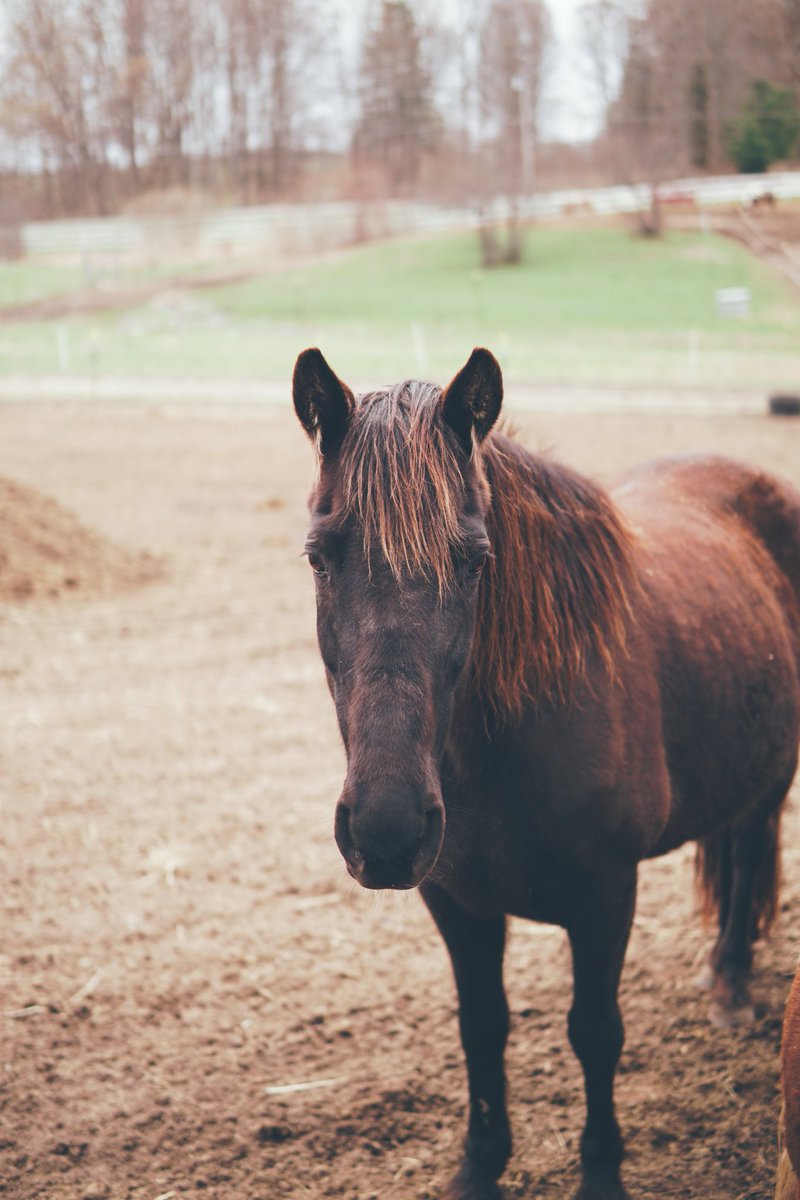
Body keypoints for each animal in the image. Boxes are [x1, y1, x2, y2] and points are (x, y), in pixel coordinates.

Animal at [292, 350, 800, 1200]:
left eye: (474, 560)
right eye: (318, 555)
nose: (386, 830)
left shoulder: (606, 894)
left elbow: (595, 1032)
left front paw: (600, 1174)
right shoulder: (453, 900)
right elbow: (482, 1029)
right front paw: (479, 1167)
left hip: (771, 779)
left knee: (751, 848)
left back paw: (730, 982)